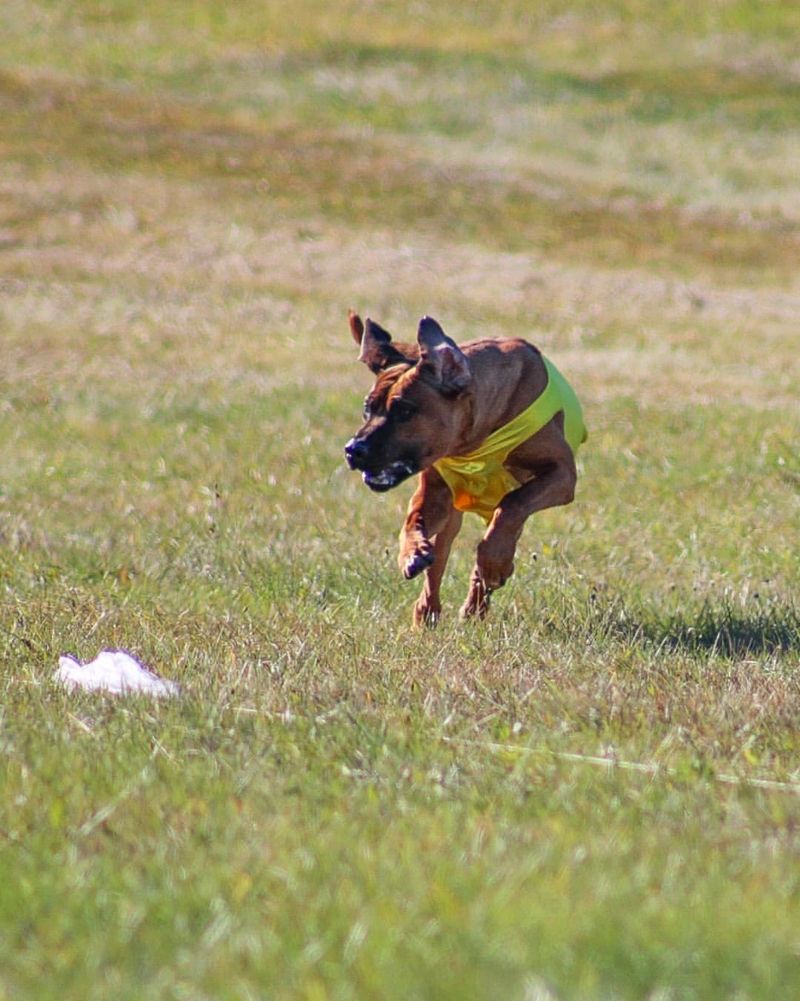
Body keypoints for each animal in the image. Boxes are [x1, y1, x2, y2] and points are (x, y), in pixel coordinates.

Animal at [340, 312, 584, 624]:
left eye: (405, 410)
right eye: (367, 409)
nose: (353, 449)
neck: (475, 441)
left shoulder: (562, 474)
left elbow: (512, 504)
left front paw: (493, 563)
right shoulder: (436, 490)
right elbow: (413, 520)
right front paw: (411, 554)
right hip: (451, 514)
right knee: (439, 559)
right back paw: (429, 611)